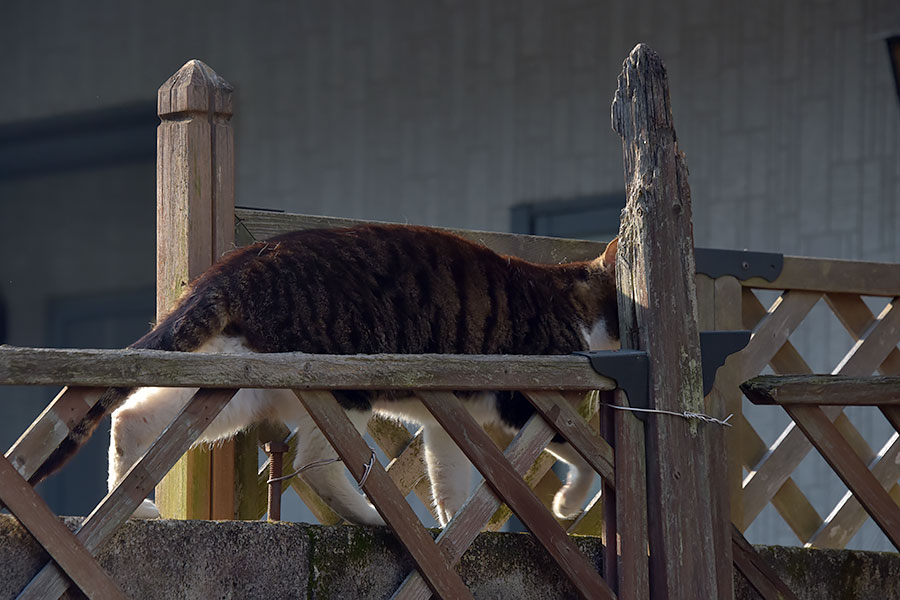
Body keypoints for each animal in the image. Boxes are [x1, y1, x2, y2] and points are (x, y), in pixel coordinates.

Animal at [29, 225, 620, 524]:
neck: (571, 300)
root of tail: (236, 266)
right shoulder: (528, 397)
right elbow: (582, 455)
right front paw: (569, 504)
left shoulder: (445, 418)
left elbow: (451, 479)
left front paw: (456, 530)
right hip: (340, 382)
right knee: (314, 464)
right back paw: (373, 517)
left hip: (237, 383)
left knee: (133, 416)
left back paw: (135, 506)